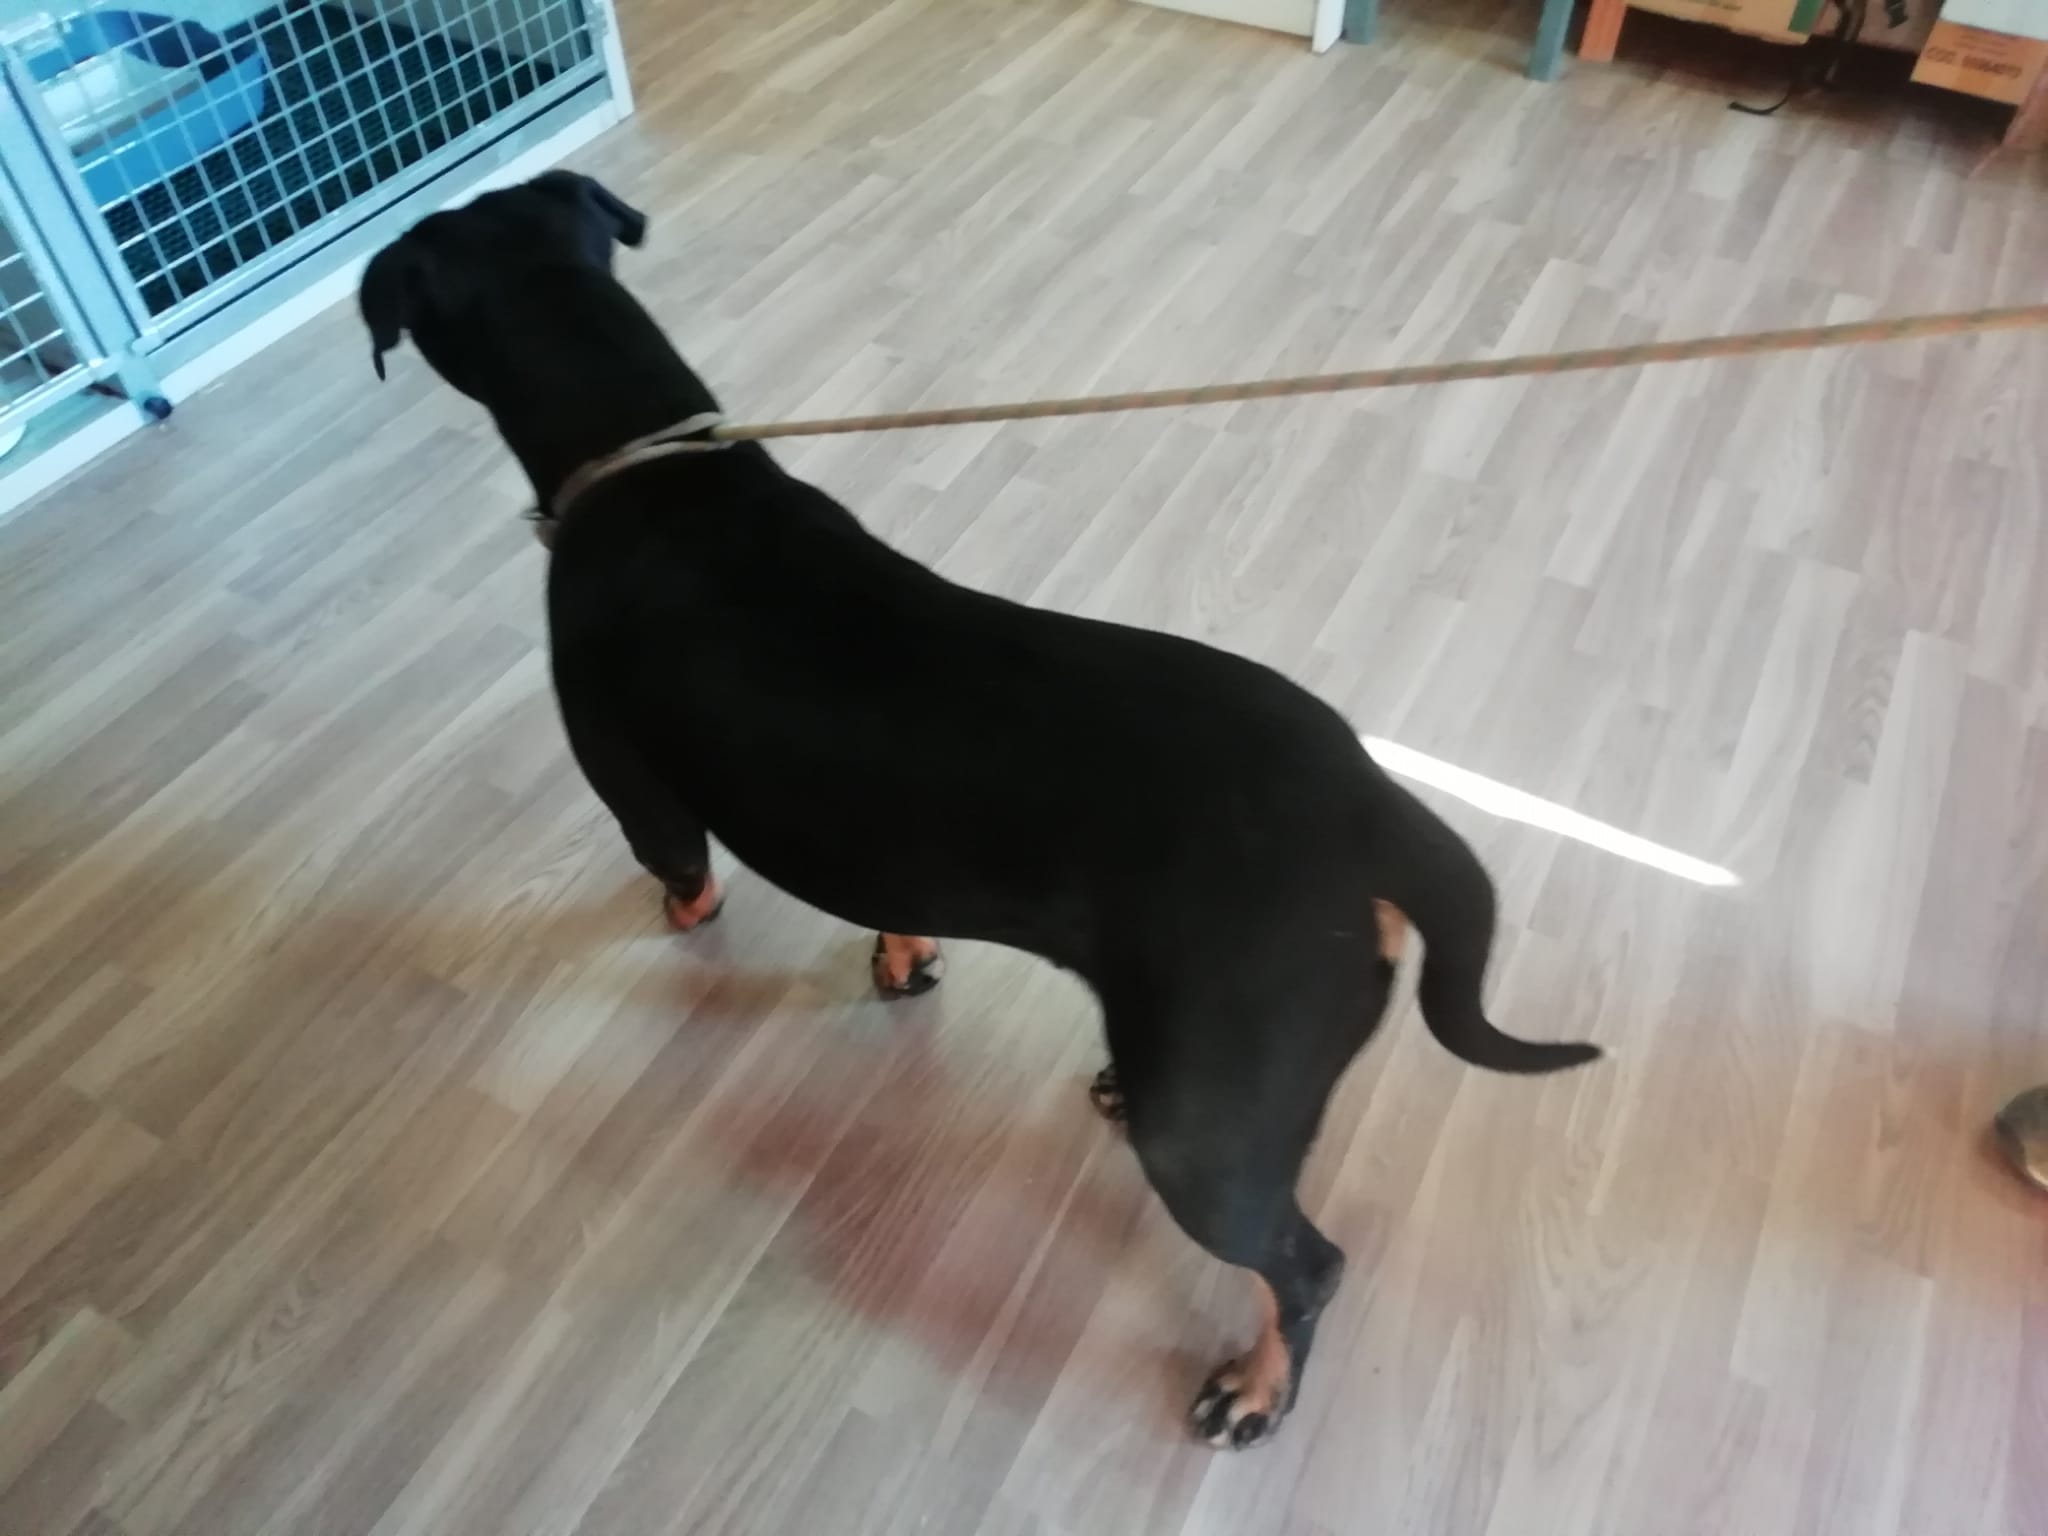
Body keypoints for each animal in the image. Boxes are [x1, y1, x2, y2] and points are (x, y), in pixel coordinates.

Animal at [358, 170, 1600, 1449]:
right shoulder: (880, 851)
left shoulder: (634, 786)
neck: (653, 465)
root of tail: (1372, 813)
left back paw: (1254, 1388)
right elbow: (894, 911)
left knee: (1304, 1268)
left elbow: (682, 875)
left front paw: (684, 920)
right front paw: (902, 963)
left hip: (1203, 1134)